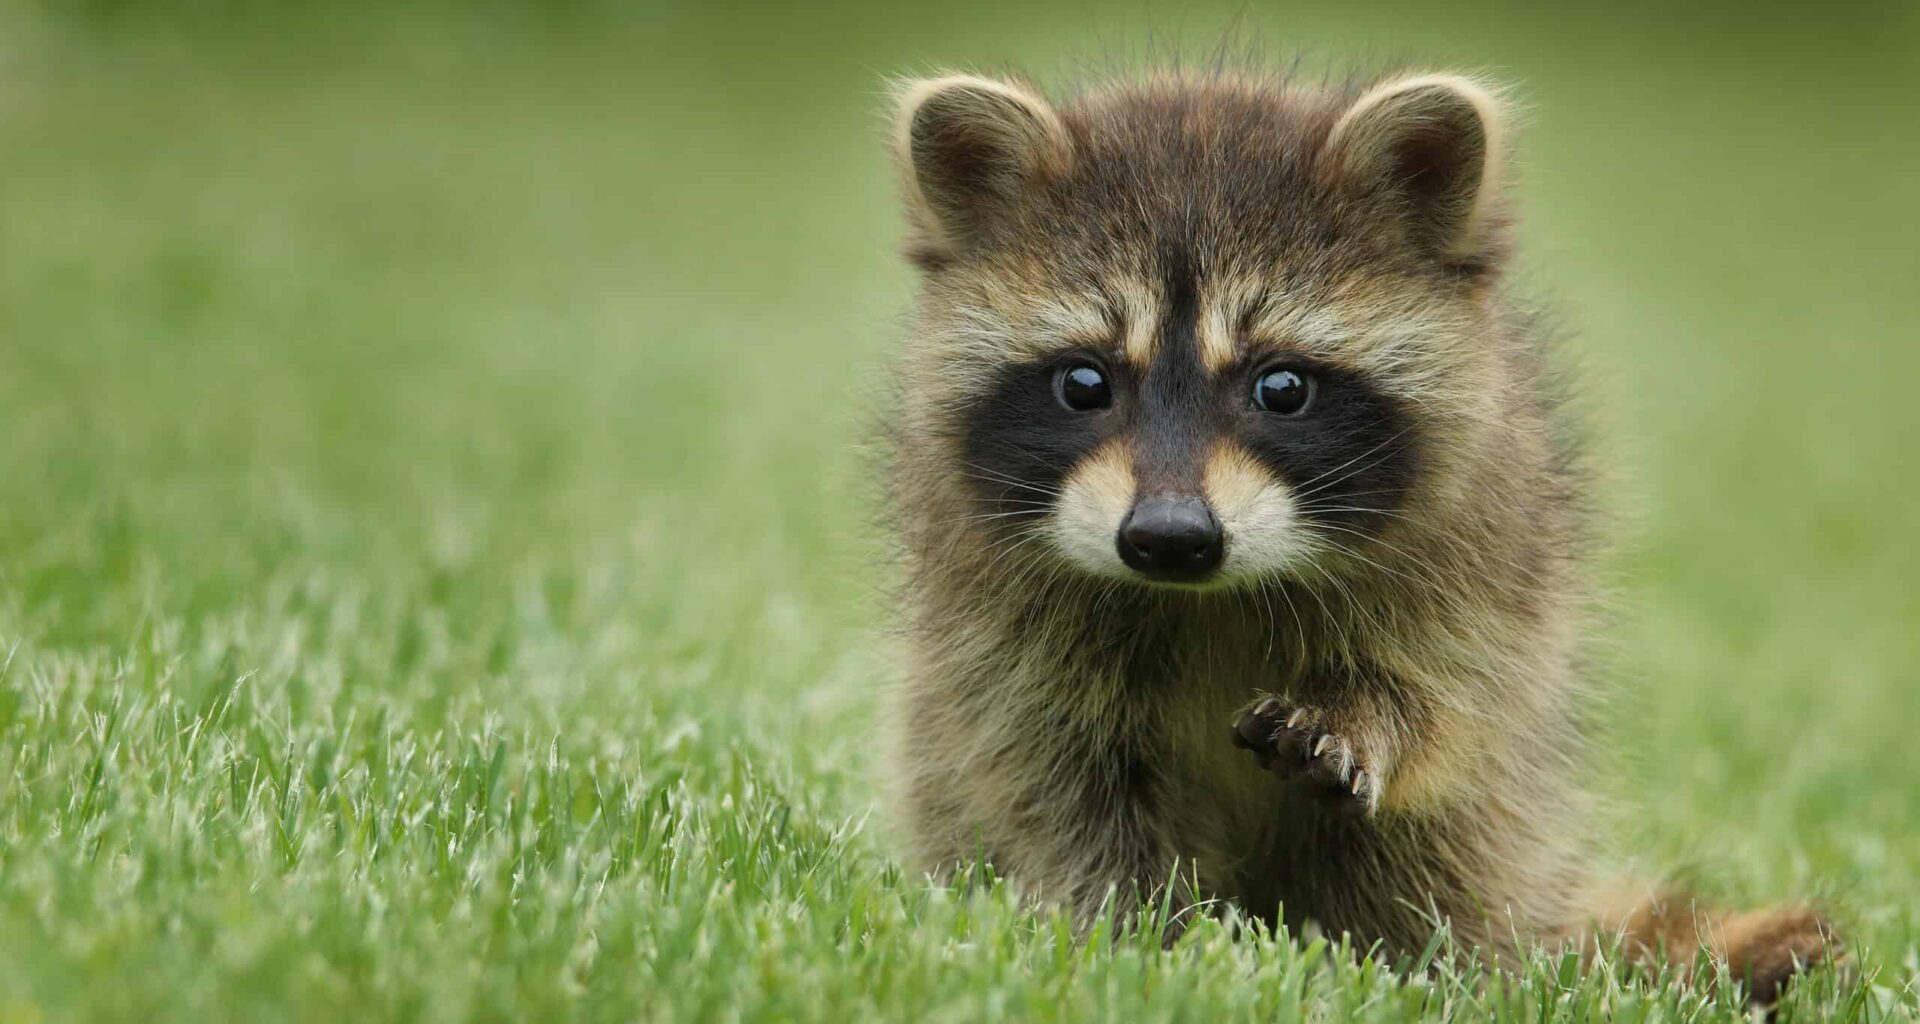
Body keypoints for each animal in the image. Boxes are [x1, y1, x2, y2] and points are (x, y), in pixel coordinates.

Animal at [879, 66, 1836, 1002]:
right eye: (1084, 383)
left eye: (1282, 388)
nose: (1170, 537)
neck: (1208, 597)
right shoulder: (998, 625)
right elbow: (1051, 780)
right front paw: (1136, 935)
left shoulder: (1485, 549)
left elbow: (1447, 699)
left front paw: (1368, 718)